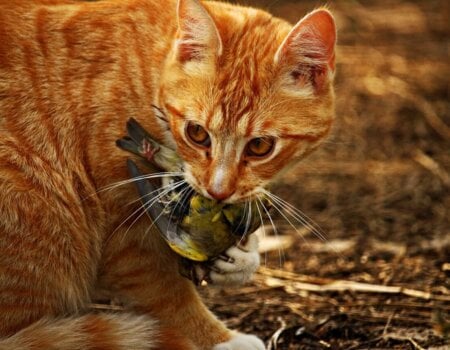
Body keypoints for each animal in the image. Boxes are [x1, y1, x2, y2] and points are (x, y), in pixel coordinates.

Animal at [0, 0, 334, 348]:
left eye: (259, 146)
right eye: (197, 133)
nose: (218, 191)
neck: (151, 75)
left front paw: (242, 257)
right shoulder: (126, 237)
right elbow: (167, 294)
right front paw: (218, 338)